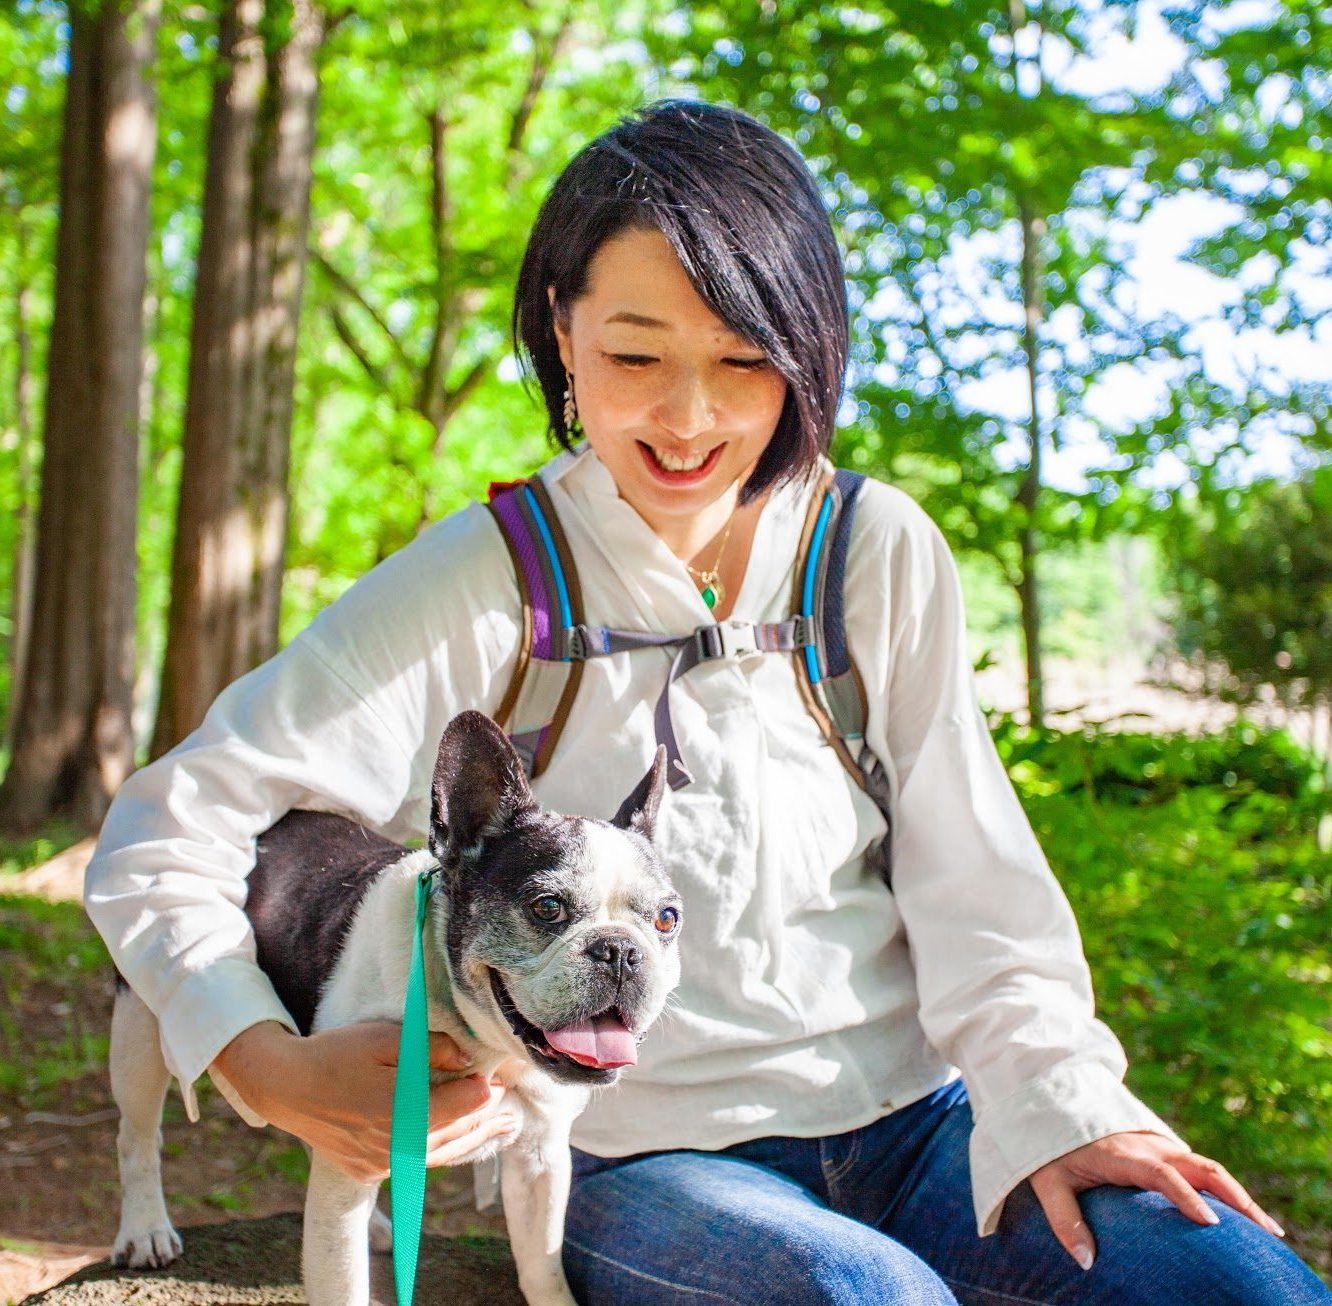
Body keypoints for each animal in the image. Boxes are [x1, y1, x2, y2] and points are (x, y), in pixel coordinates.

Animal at [109, 714, 681, 1306]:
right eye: (547, 907)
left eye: (667, 918)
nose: (620, 949)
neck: (488, 1046)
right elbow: (343, 1284)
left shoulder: (540, 1160)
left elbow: (543, 1265)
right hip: (141, 1024)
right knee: (138, 1133)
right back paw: (145, 1229)